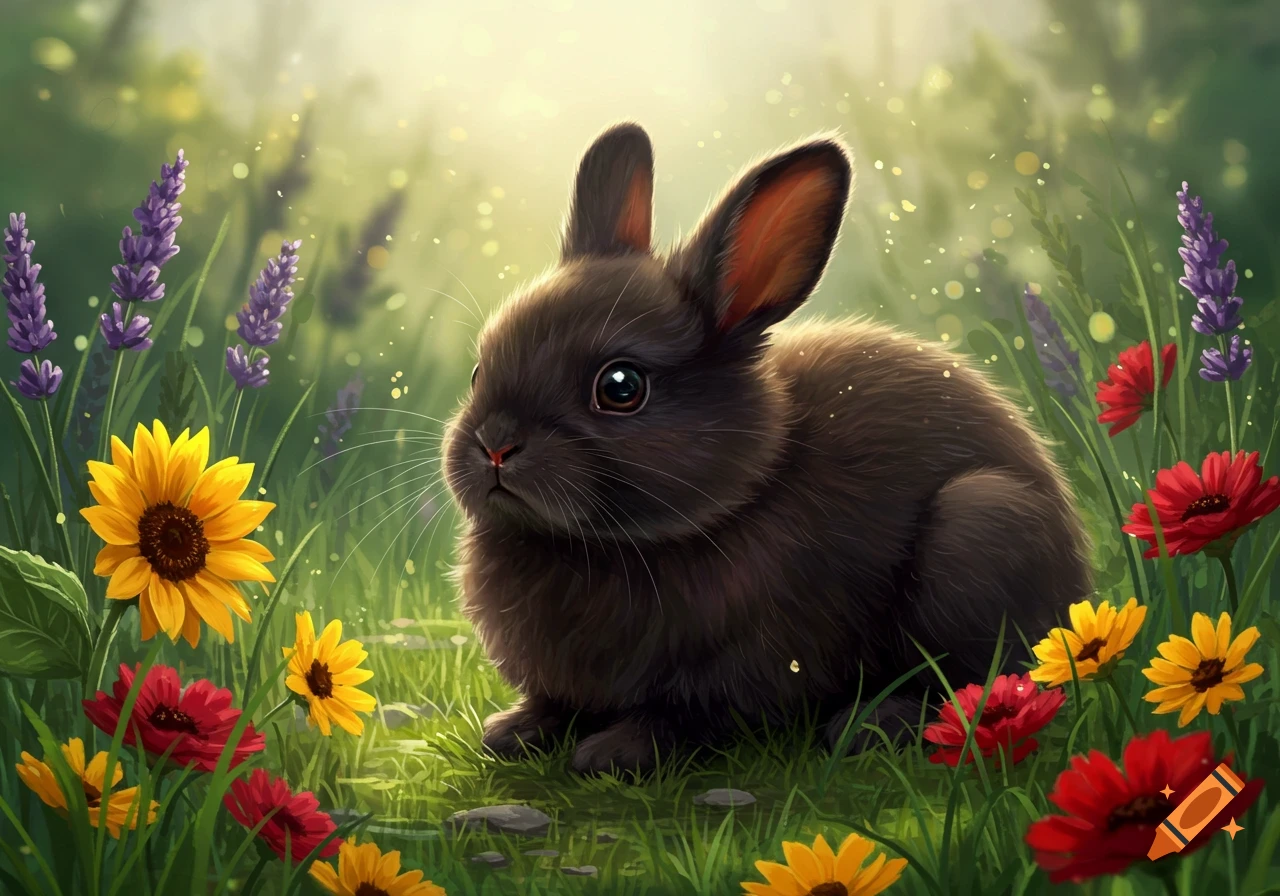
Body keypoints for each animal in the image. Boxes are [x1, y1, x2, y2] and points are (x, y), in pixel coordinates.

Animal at [440, 121, 1092, 776]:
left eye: (620, 387)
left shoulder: (750, 662)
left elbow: (688, 714)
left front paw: (613, 752)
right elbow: (554, 703)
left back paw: (873, 723)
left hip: (981, 528)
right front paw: (513, 732)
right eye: (476, 372)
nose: (495, 445)